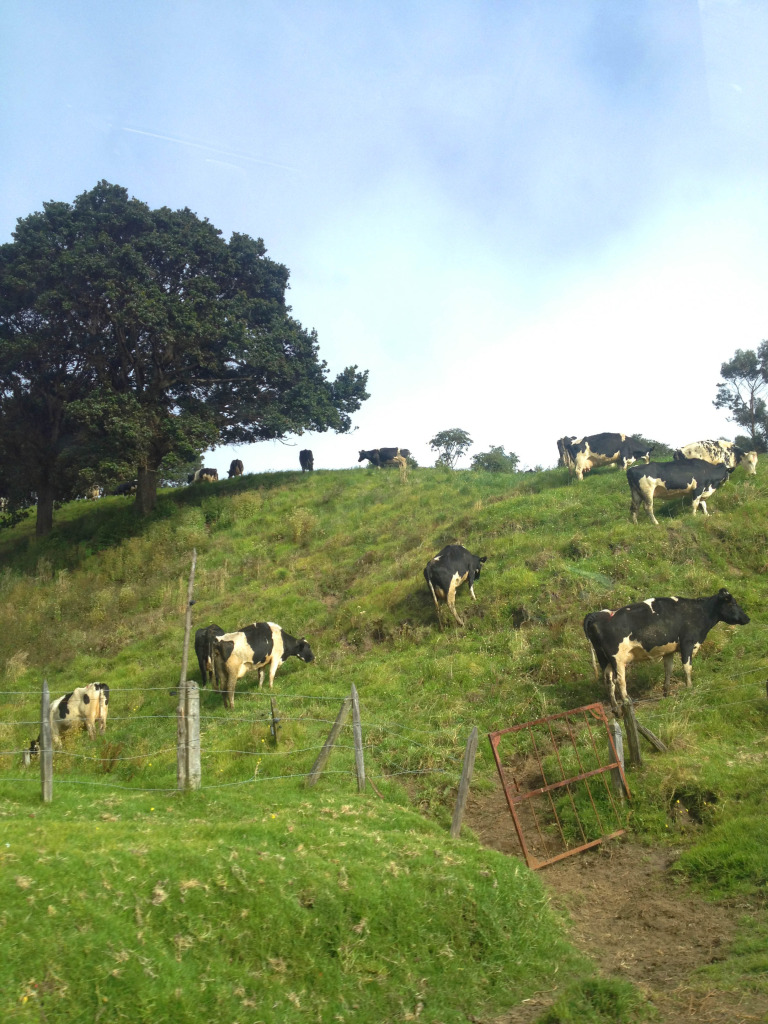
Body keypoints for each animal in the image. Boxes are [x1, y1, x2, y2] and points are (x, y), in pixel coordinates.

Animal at [585, 589, 749, 716]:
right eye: (732, 603)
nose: (747, 618)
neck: (698, 613)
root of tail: (597, 614)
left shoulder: (669, 650)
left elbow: (668, 669)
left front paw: (666, 693)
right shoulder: (688, 644)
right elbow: (687, 668)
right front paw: (689, 689)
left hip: (603, 658)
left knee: (608, 680)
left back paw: (616, 710)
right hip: (617, 658)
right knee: (620, 680)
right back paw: (626, 702)